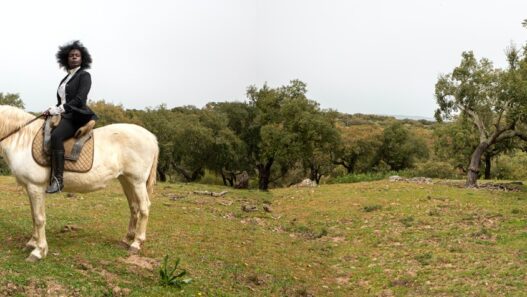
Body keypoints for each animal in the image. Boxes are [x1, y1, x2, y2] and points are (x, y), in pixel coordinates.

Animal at [0, 105, 159, 260]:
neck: (23, 140)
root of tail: (150, 136)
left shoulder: (35, 187)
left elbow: (39, 218)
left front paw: (39, 251)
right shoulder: (30, 188)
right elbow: (34, 216)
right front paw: (32, 243)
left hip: (137, 181)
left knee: (144, 207)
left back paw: (136, 243)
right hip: (126, 180)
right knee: (134, 207)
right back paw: (126, 239)